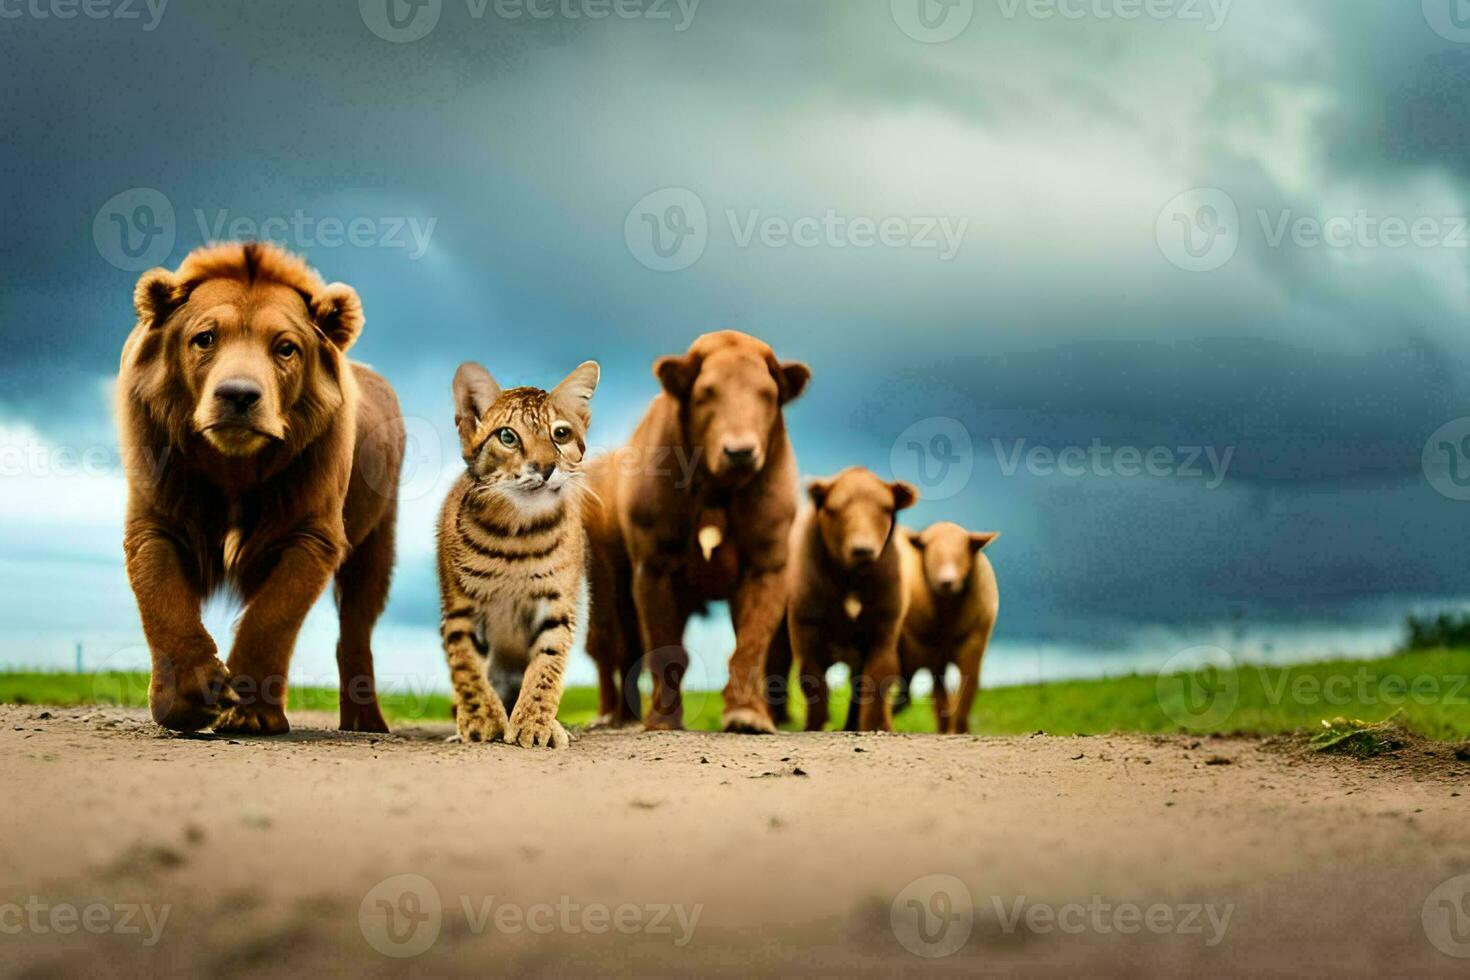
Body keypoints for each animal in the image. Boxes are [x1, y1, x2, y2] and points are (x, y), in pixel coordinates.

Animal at [117, 243, 405, 734]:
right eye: (205, 338)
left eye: (285, 348)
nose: (238, 395)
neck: (235, 466)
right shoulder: (155, 517)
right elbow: (162, 598)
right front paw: (189, 697)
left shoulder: (311, 532)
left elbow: (272, 615)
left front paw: (250, 713)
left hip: (377, 538)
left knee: (355, 627)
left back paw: (365, 721)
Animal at [435, 359, 596, 752]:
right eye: (507, 437)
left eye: (561, 434)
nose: (546, 467)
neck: (517, 534)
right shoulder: (460, 610)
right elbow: (466, 668)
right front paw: (481, 722)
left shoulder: (558, 606)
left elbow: (547, 669)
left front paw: (534, 723)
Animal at [579, 333, 811, 731]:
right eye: (706, 392)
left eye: (768, 393)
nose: (740, 451)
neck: (716, 491)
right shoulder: (653, 566)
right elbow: (664, 650)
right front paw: (662, 720)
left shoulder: (767, 564)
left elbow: (751, 643)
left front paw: (748, 715)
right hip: (607, 579)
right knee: (610, 645)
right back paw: (613, 715)